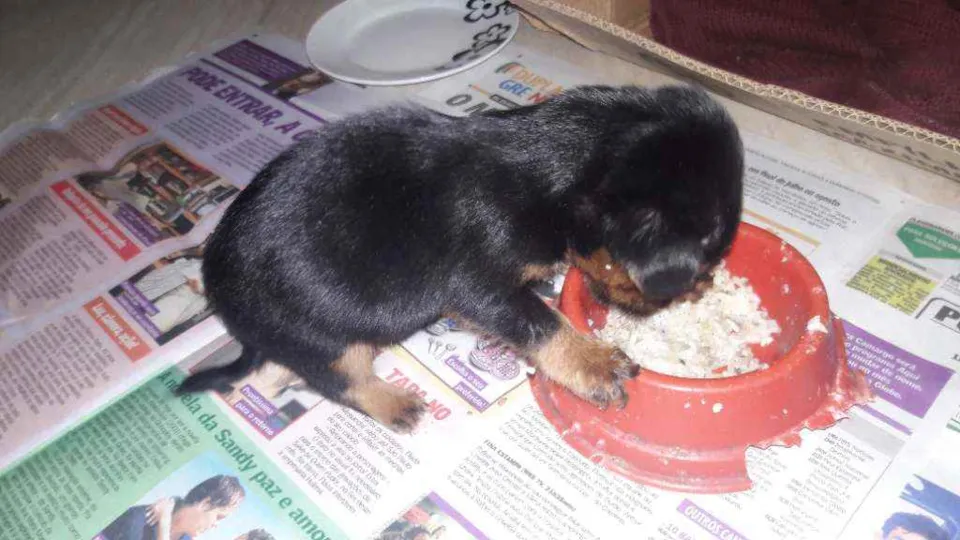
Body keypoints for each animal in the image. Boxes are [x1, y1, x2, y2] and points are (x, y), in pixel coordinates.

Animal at [178, 85, 744, 432]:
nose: (699, 285)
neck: (554, 169)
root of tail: (225, 303)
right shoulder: (478, 285)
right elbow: (541, 323)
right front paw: (594, 364)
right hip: (324, 339)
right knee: (341, 380)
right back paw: (395, 403)